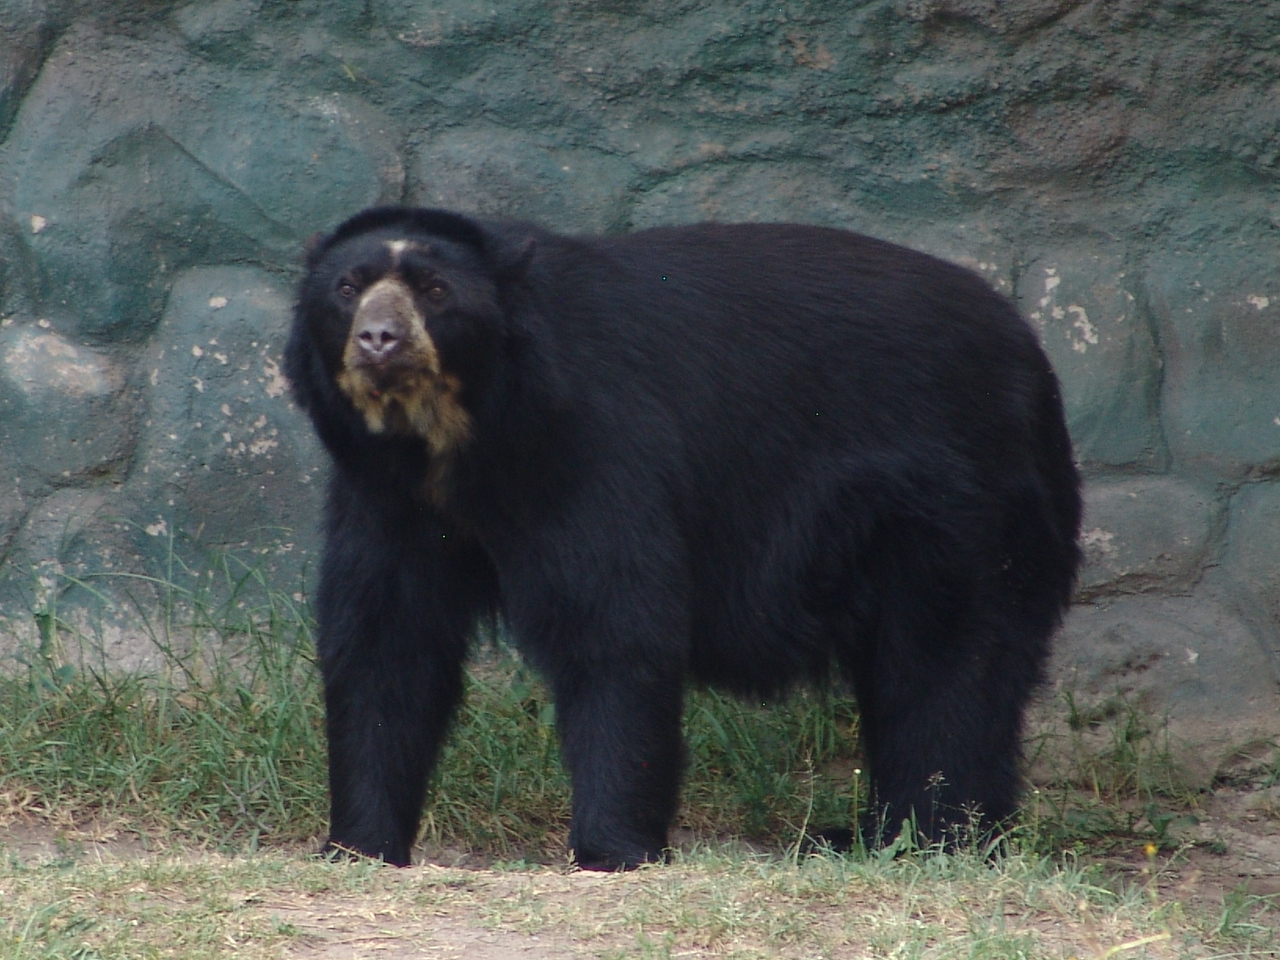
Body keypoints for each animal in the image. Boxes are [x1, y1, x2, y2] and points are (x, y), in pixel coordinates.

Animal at [283, 206, 1082, 870]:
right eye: (348, 288)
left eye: (436, 290)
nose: (379, 340)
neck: (454, 441)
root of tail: (1031, 351)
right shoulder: (386, 498)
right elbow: (387, 643)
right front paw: (359, 843)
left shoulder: (594, 448)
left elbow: (614, 627)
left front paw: (612, 850)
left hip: (958, 498)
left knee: (947, 664)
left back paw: (929, 836)